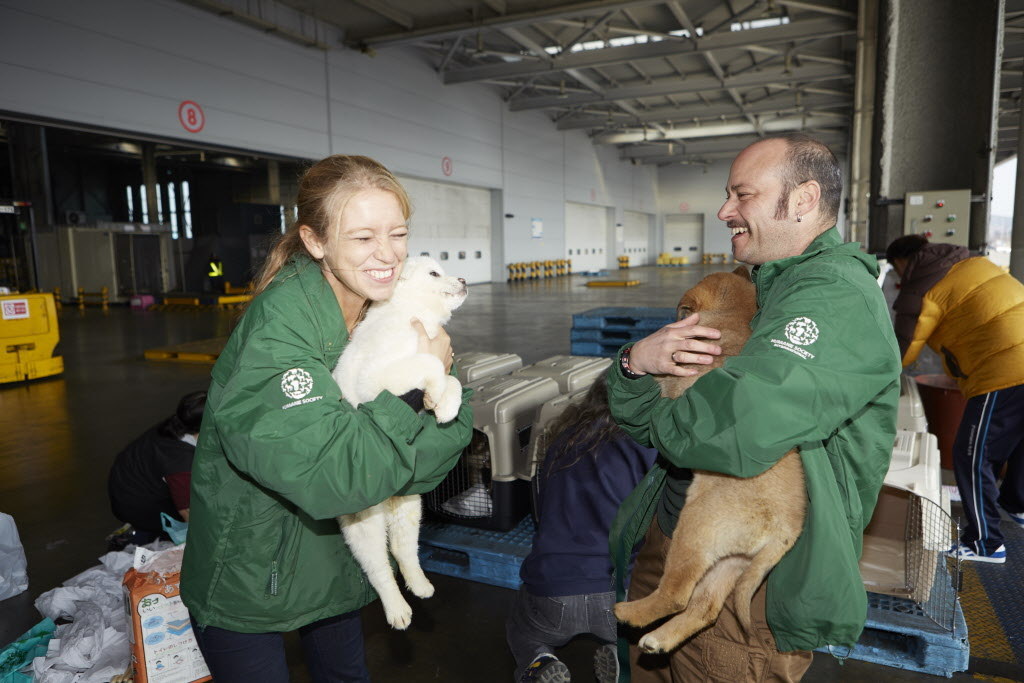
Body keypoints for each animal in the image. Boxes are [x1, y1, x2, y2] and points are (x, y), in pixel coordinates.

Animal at [331, 255, 468, 630]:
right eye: (434, 272)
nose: (464, 280)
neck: (411, 312)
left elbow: (450, 379)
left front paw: (444, 405)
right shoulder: (377, 378)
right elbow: (430, 361)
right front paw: (440, 399)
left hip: (408, 505)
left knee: (403, 550)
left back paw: (420, 585)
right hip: (364, 523)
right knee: (379, 567)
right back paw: (397, 611)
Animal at [610, 266, 802, 651]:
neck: (733, 320)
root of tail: (785, 530)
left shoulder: (669, 378)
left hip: (694, 530)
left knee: (676, 594)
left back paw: (630, 613)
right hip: (730, 564)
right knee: (704, 608)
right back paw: (659, 639)